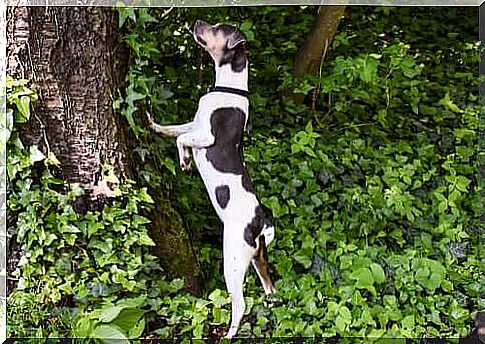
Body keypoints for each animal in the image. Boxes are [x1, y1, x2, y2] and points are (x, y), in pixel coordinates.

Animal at [147, 20, 276, 338]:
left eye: (218, 28)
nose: (195, 23)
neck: (230, 86)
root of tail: (259, 221)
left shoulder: (205, 135)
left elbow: (180, 139)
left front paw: (184, 162)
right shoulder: (193, 124)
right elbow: (173, 129)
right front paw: (152, 123)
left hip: (233, 261)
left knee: (240, 304)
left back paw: (229, 334)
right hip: (259, 259)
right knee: (270, 286)